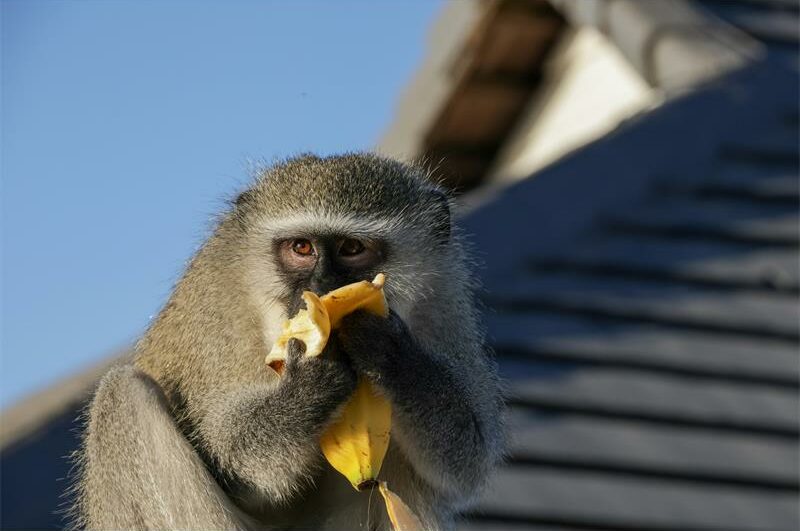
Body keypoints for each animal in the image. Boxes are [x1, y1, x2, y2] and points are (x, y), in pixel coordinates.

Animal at [71, 153, 505, 531]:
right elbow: (233, 457)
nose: (322, 285)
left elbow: (467, 458)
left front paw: (391, 355)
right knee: (120, 396)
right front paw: (310, 384)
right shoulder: (217, 312)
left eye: (352, 249)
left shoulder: (444, 301)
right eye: (301, 248)